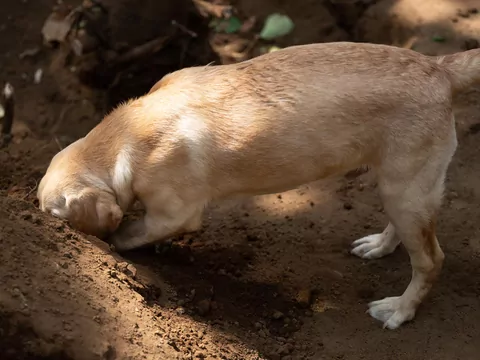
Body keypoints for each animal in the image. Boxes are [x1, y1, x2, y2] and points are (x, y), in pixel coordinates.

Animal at [36, 41, 480, 330]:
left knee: (431, 260)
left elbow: (127, 235)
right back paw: (380, 246)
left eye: (51, 214)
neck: (125, 136)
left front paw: (115, 246)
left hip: (405, 190)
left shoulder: (171, 216)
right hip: (398, 185)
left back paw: (400, 310)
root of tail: (440, 67)